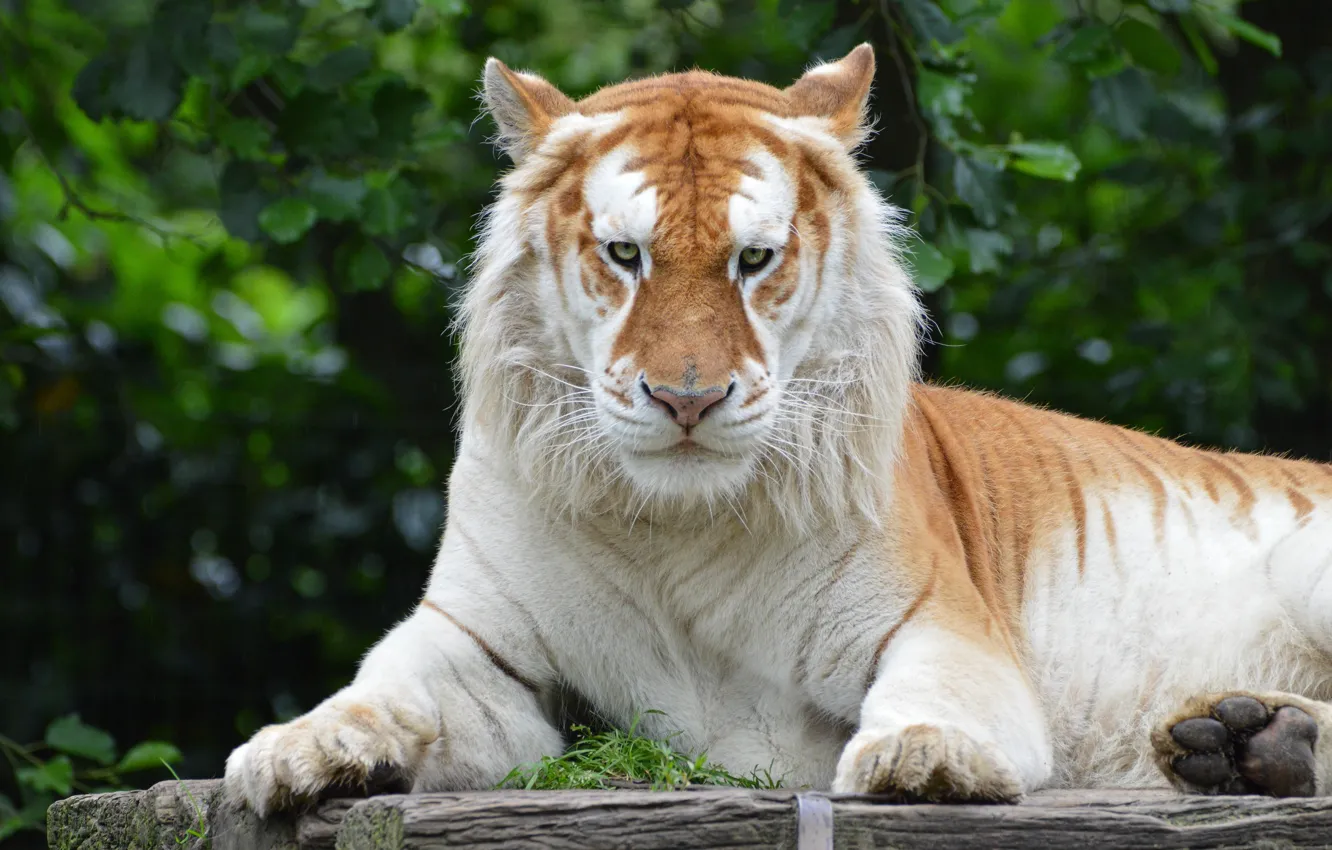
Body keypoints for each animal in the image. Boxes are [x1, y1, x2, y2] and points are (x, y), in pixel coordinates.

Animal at [223, 46, 1332, 814]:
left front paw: (924, 754)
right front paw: (292, 748)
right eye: (624, 254)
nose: (688, 399)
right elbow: (378, 692)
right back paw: (1243, 739)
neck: (677, 525)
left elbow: (934, 693)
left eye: (753, 260)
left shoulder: (941, 623)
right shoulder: (473, 642)